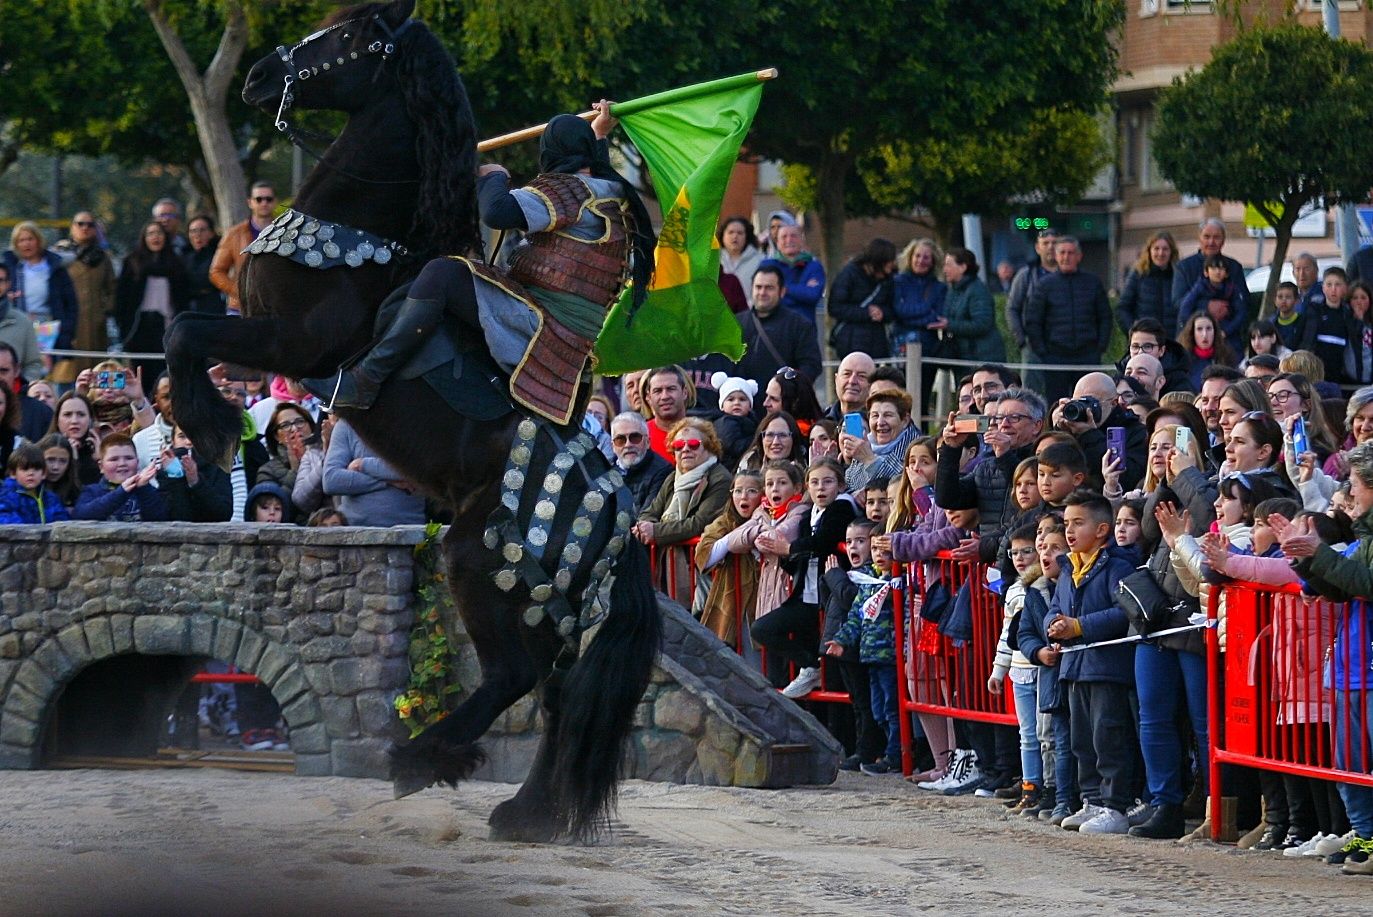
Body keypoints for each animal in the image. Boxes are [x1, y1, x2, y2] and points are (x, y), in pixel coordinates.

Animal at [166, 1, 659, 845]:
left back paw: (422, 759)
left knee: (513, 677)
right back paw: (523, 809)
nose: (261, 73)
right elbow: (184, 333)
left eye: (348, 36)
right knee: (556, 695)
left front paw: (209, 429)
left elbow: (183, 333)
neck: (359, 237)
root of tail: (621, 518)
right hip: (537, 594)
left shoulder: (290, 342)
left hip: (472, 555)